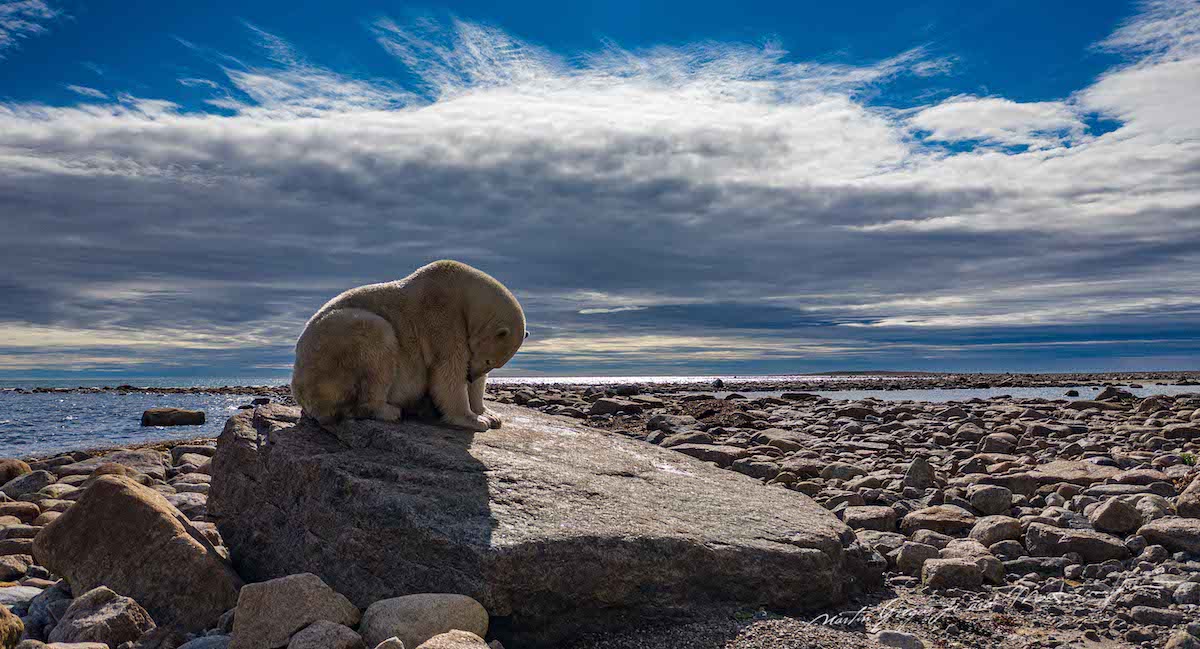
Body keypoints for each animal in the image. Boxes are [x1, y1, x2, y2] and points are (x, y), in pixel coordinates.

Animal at [290, 257, 525, 429]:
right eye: (489, 360)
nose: (471, 375)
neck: (462, 292)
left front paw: (490, 414)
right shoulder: (442, 318)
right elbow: (448, 369)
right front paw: (474, 420)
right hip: (334, 350)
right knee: (378, 340)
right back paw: (389, 410)